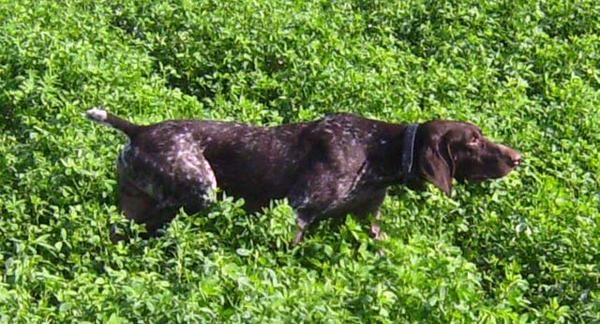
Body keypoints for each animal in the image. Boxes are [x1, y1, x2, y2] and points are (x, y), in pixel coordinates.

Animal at [84, 107, 520, 244]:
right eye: (473, 141)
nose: (517, 158)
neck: (379, 150)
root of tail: (139, 130)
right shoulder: (299, 211)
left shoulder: (368, 220)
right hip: (198, 191)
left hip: (137, 202)